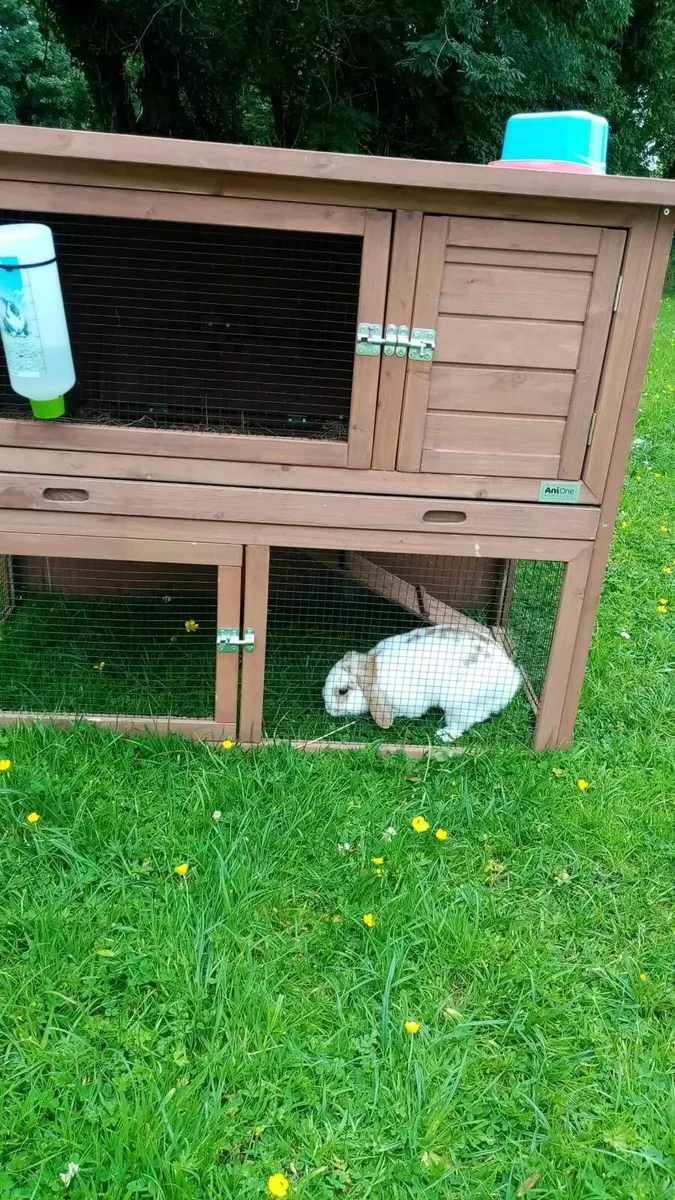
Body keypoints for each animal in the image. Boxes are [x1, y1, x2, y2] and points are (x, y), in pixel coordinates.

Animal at [323, 623, 521, 742]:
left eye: (342, 691)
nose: (329, 709)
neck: (375, 671)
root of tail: (512, 679)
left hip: (459, 704)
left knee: (462, 724)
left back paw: (443, 735)